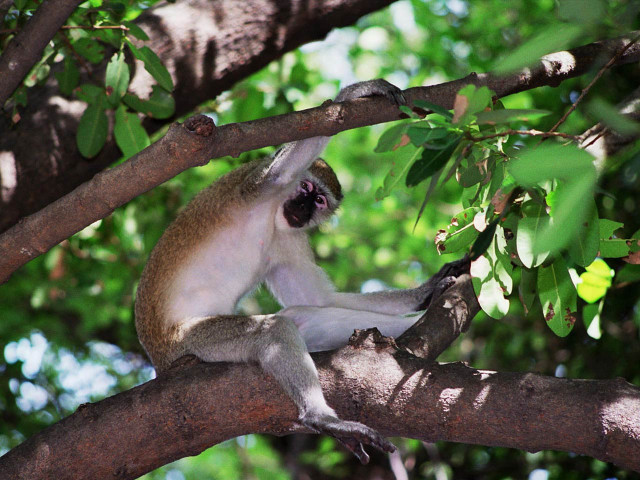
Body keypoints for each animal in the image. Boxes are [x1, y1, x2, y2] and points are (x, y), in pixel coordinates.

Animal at [135, 79, 456, 464]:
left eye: (318, 201)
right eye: (305, 188)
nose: (303, 209)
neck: (274, 210)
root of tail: (158, 357)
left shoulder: (287, 240)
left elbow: (319, 298)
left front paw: (425, 292)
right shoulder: (254, 186)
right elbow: (282, 169)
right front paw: (353, 95)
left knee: (306, 316)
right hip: (190, 341)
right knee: (272, 329)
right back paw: (320, 417)